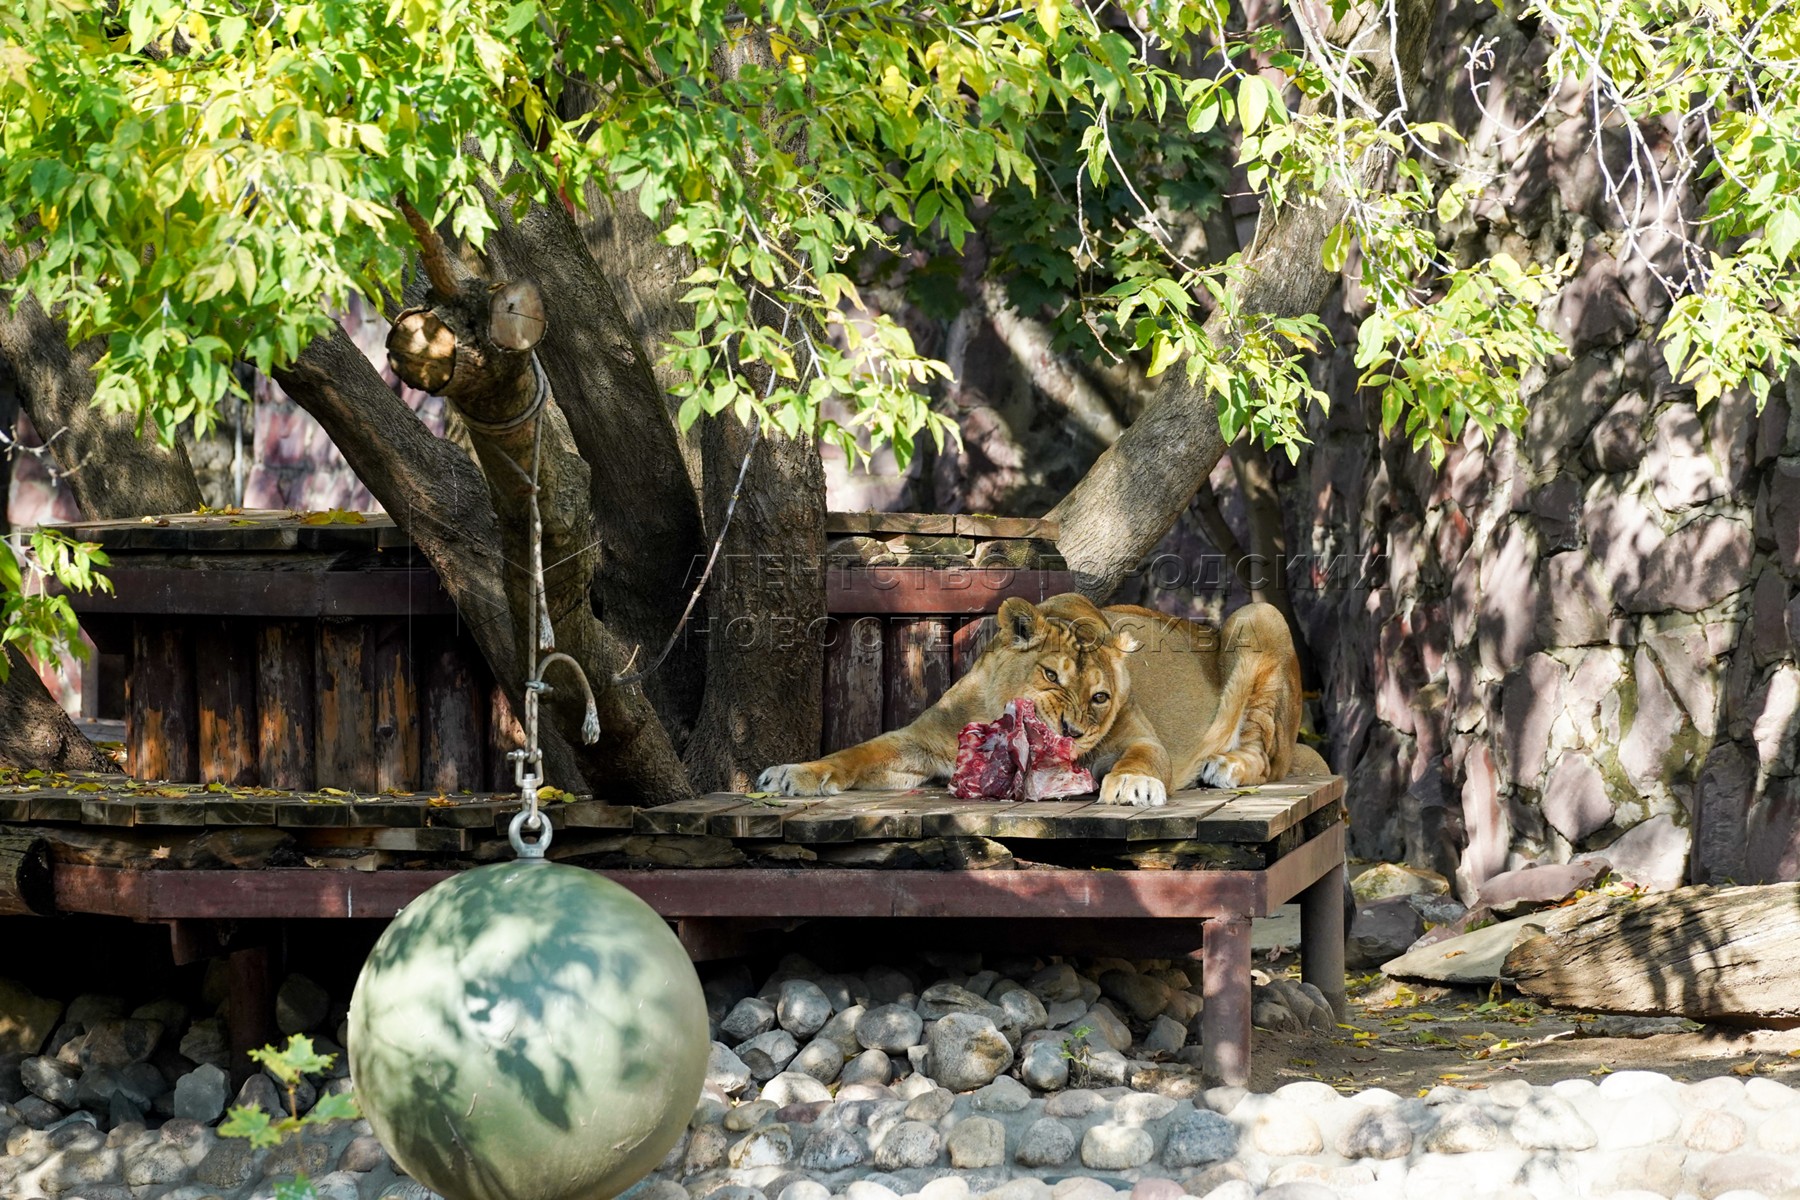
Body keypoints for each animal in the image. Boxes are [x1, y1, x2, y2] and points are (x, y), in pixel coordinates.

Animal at [757, 593, 1323, 807]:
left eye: (1100, 697)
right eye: (1050, 674)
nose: (1071, 732)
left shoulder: (1143, 737)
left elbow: (1142, 758)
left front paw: (1132, 785)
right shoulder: (920, 741)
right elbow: (855, 753)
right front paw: (791, 774)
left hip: (1258, 616)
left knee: (1266, 756)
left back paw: (1224, 766)